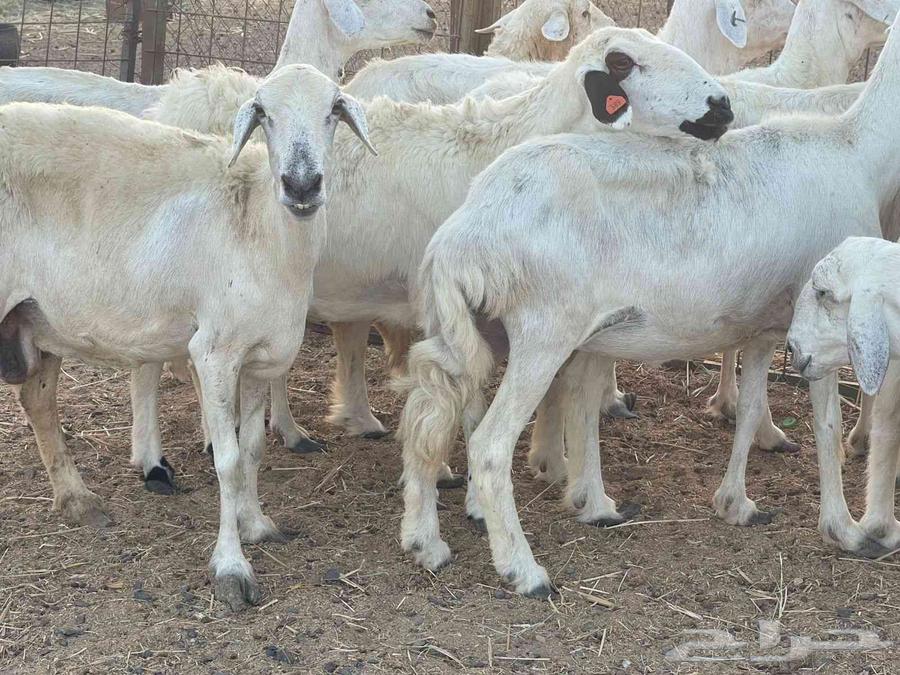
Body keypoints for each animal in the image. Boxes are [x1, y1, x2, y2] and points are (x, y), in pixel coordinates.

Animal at [0, 64, 377, 610]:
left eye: (333, 110)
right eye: (264, 113)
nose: (302, 184)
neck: (260, 226)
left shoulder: (260, 355)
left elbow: (252, 449)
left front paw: (256, 524)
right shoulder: (215, 352)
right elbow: (227, 459)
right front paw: (231, 566)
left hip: (37, 314)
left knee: (38, 401)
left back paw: (77, 499)